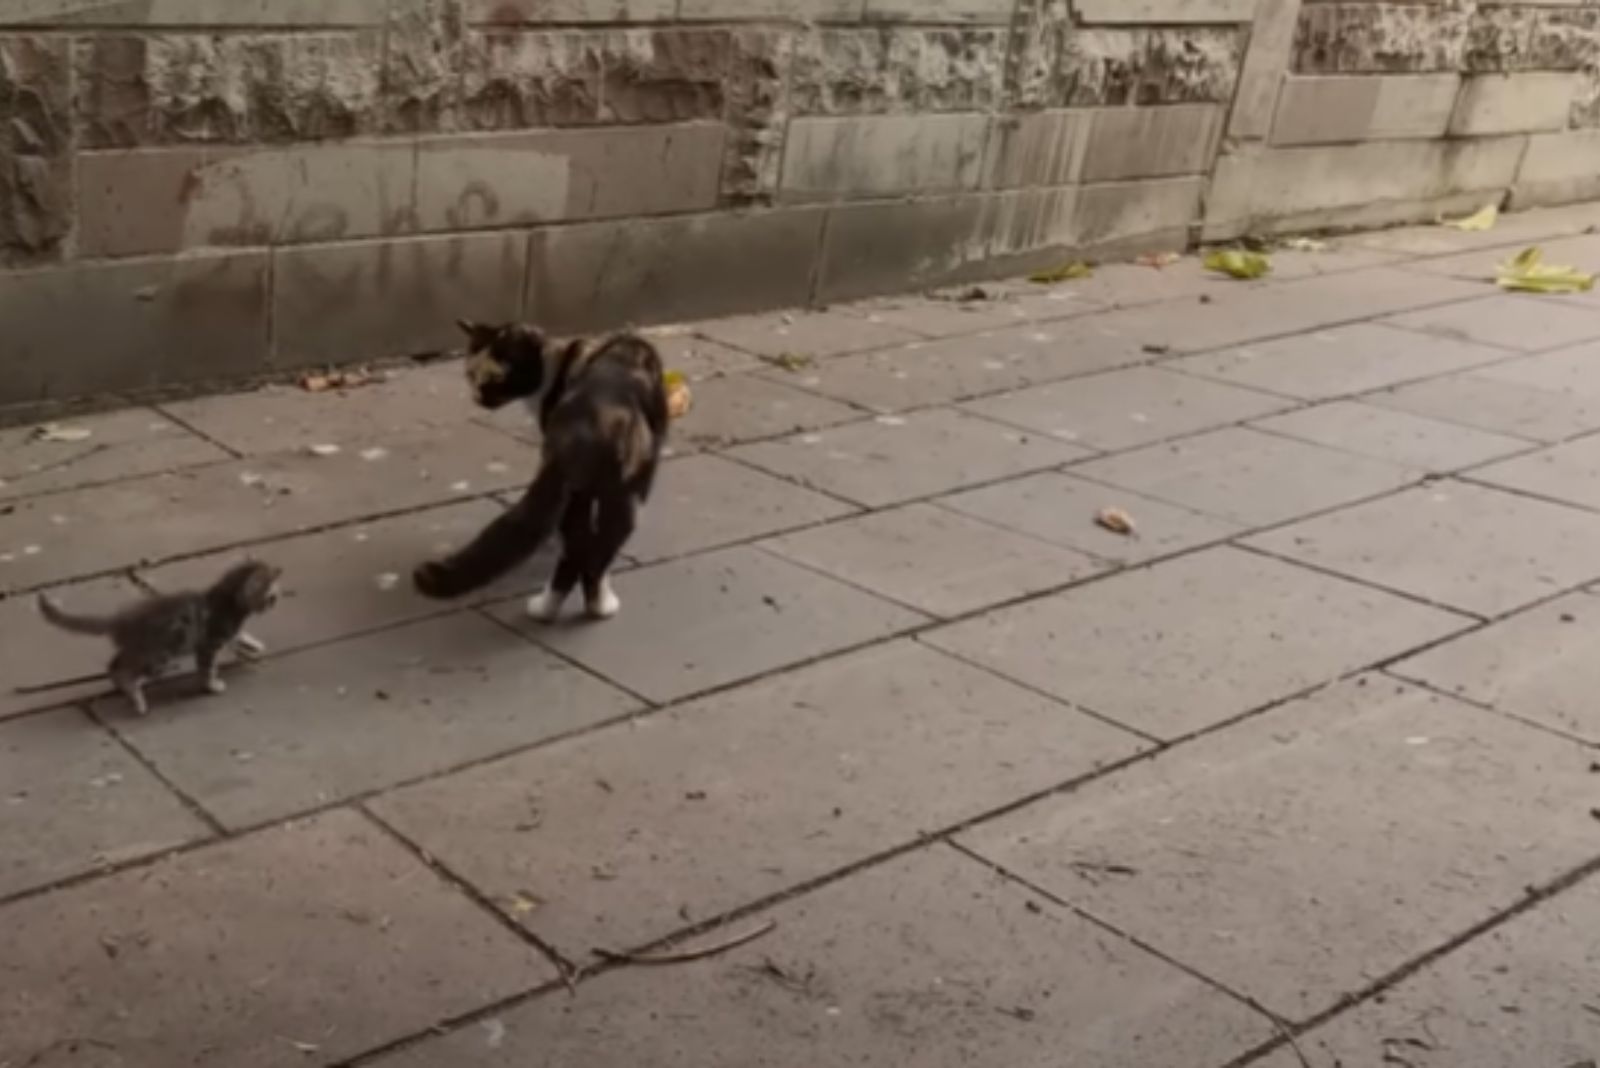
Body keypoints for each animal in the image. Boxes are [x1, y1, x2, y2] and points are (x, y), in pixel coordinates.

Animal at [36, 559, 281, 716]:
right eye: (271, 597)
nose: (275, 603)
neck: (228, 599)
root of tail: (121, 620)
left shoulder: (226, 633)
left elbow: (239, 636)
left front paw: (254, 645)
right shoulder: (209, 643)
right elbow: (207, 668)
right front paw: (211, 686)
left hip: (139, 651)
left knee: (113, 664)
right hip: (159, 655)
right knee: (123, 671)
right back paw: (136, 698)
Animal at [412, 319, 668, 617]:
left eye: (494, 380)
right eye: (470, 375)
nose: (477, 398)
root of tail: (585, 431)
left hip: (595, 493)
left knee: (581, 548)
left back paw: (554, 608)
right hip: (615, 495)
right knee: (589, 554)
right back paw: (591, 606)